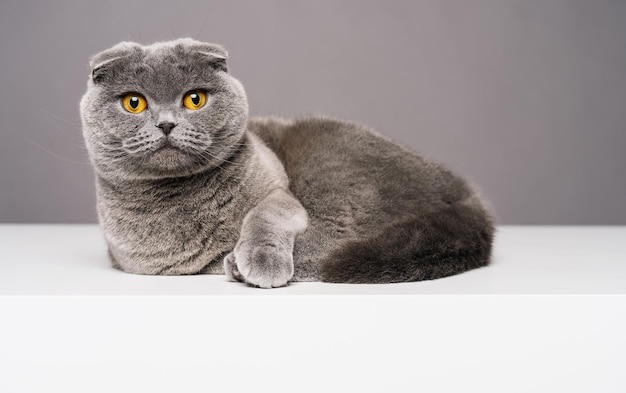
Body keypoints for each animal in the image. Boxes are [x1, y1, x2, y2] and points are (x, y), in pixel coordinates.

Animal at [80, 38, 494, 286]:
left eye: (194, 99)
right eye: (134, 102)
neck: (178, 199)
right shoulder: (139, 262)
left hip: (328, 167)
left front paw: (259, 256)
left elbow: (263, 215)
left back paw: (238, 265)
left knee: (334, 243)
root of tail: (464, 191)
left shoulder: (280, 194)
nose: (166, 123)